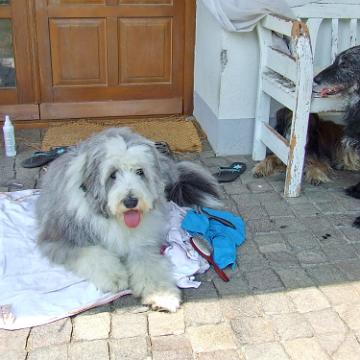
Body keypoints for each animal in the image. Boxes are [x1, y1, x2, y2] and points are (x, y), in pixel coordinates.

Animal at [35, 128, 219, 310]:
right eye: (113, 174)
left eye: (140, 172)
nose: (130, 201)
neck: (116, 219)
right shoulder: (60, 239)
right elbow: (94, 253)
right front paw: (115, 277)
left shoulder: (142, 242)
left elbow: (148, 263)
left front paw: (162, 295)